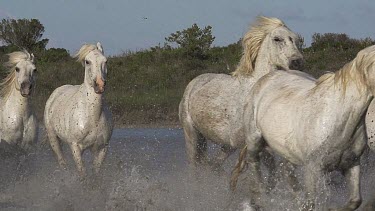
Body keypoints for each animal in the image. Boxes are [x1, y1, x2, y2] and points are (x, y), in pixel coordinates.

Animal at [44, 42, 113, 177]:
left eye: (105, 61)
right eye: (87, 61)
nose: (100, 85)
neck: (93, 117)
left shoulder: (102, 148)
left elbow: (96, 173)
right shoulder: (75, 146)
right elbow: (82, 173)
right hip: (53, 138)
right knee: (62, 161)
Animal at [231, 44, 375, 209]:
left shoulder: (351, 163)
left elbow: (355, 201)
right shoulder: (313, 169)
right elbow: (312, 202)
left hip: (287, 151)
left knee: (287, 172)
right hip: (254, 142)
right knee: (255, 166)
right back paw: (259, 199)